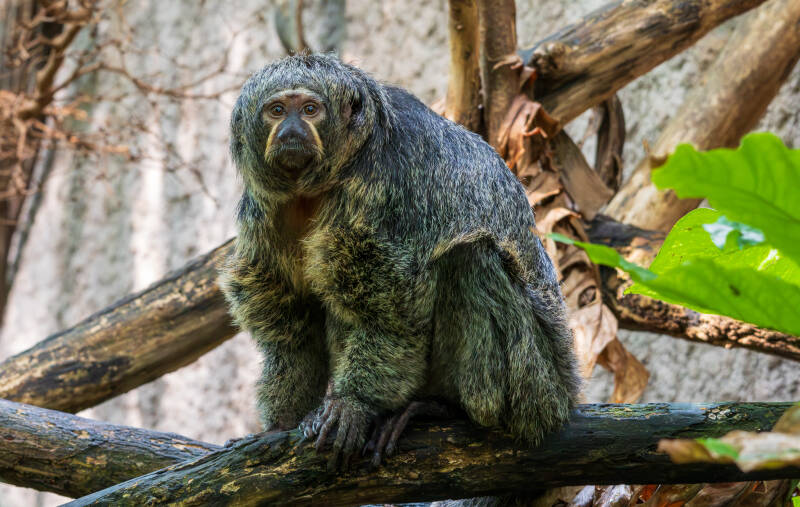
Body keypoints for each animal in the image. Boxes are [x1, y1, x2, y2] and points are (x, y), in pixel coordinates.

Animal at [219, 53, 581, 471]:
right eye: (276, 110)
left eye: (310, 109)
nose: (291, 130)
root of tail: (567, 391)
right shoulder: (265, 210)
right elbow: (294, 328)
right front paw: (282, 423)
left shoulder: (382, 187)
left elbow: (394, 315)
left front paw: (354, 404)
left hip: (536, 385)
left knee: (469, 257)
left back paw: (443, 407)